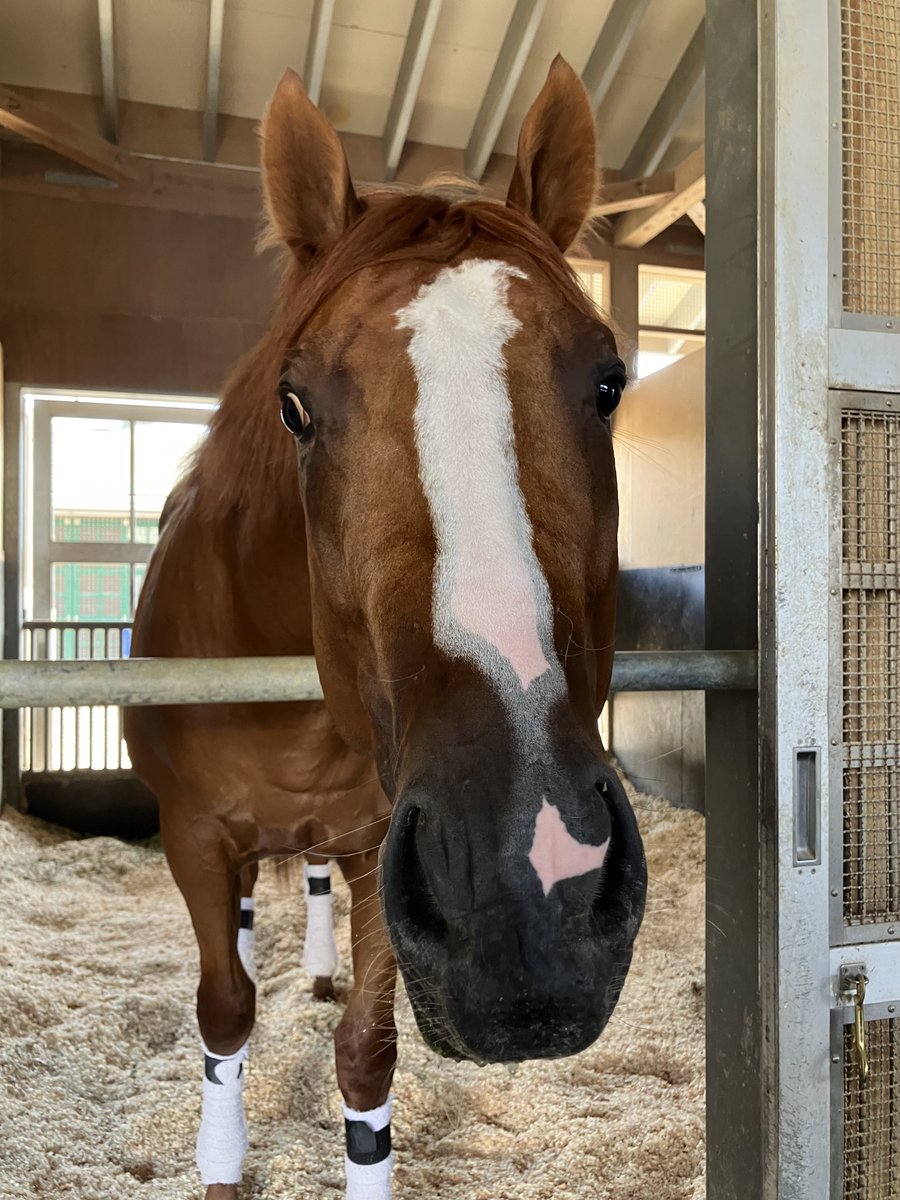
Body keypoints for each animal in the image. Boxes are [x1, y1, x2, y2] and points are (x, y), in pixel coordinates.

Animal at [124, 55, 647, 1200]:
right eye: (295, 406)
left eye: (607, 383)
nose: (525, 888)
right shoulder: (195, 837)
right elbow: (224, 1012)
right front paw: (222, 1163)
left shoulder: (375, 848)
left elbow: (366, 1054)